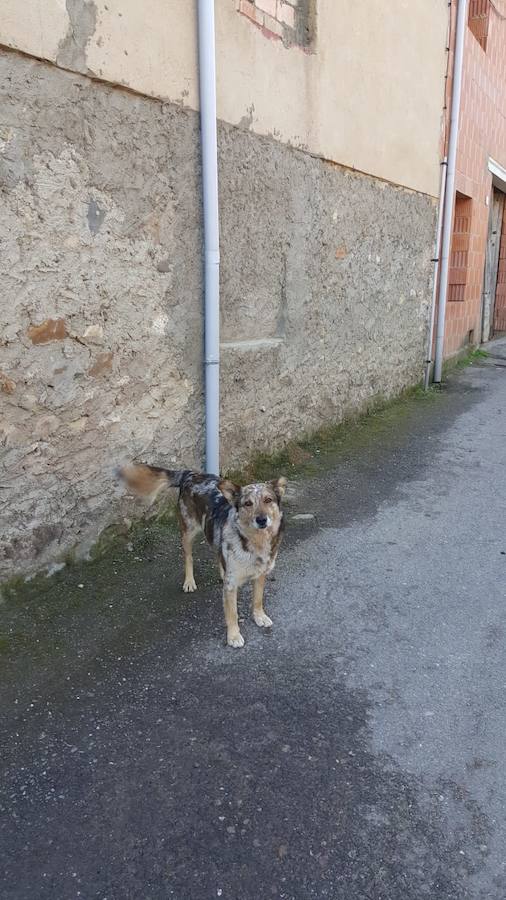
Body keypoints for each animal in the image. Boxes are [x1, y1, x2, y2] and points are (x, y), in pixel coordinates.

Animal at [116, 464, 286, 648]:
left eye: (268, 500)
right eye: (248, 503)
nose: (262, 520)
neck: (255, 541)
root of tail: (190, 474)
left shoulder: (260, 574)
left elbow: (258, 599)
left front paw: (259, 616)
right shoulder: (231, 585)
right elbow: (232, 613)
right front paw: (233, 636)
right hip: (188, 532)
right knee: (188, 557)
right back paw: (189, 581)